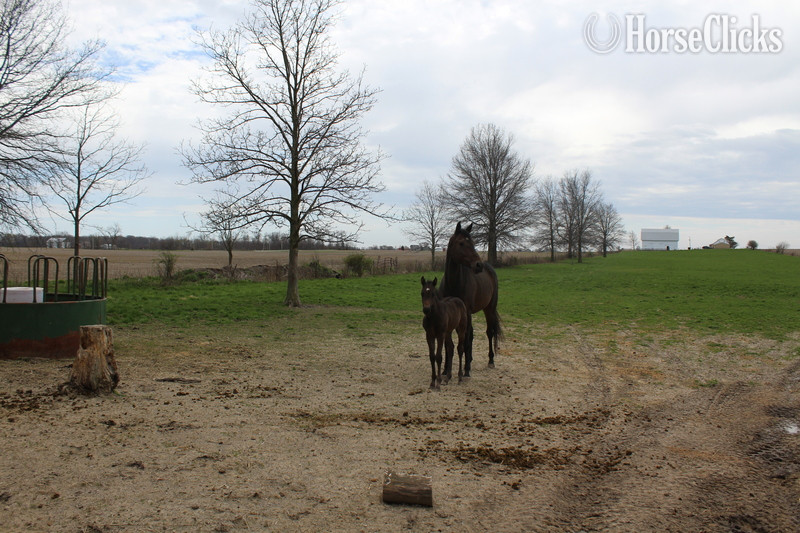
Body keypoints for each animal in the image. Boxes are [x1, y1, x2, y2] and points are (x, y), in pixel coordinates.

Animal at [439, 222, 501, 377]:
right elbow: (448, 343)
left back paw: (490, 361)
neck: (453, 283)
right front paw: (445, 369)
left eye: (472, 243)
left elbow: (465, 340)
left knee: (489, 332)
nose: (478, 265)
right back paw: (470, 359)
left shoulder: (466, 312)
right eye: (461, 243)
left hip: (489, 309)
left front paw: (466, 369)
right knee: (471, 334)